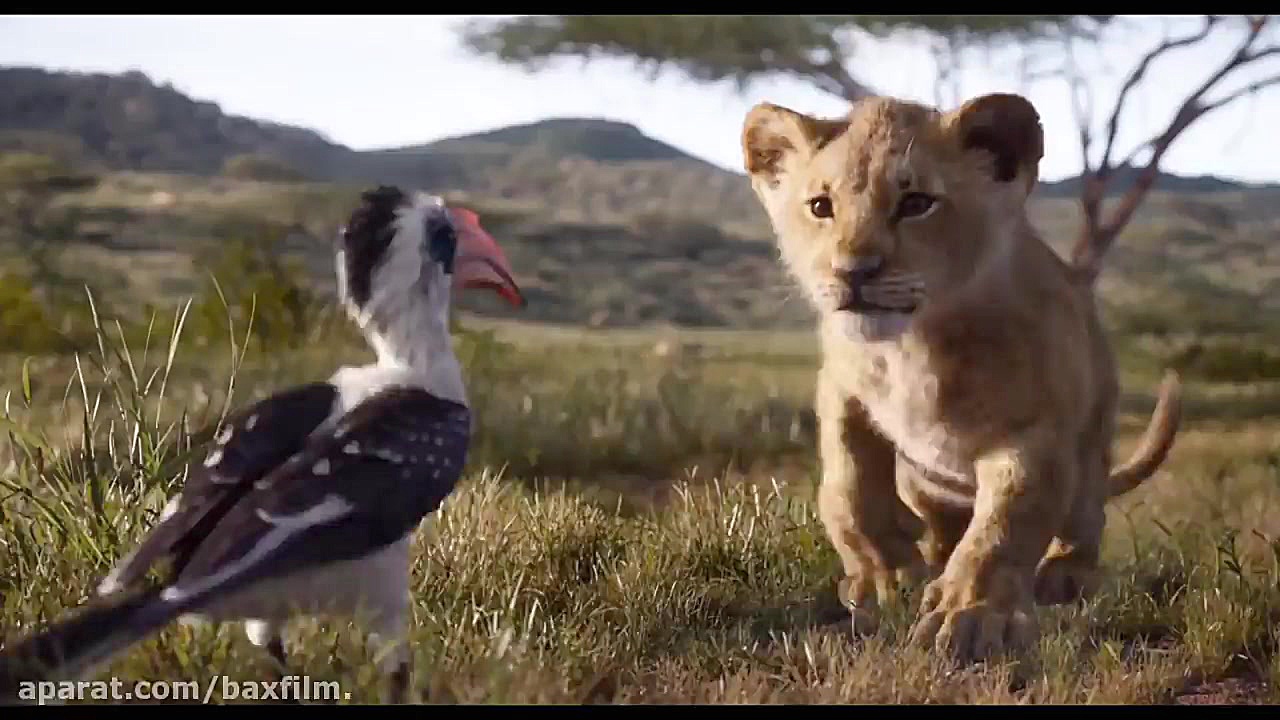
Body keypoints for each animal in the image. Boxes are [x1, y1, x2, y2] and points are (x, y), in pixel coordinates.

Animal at [739, 92, 1182, 663]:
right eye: (820, 206)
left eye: (916, 203)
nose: (852, 271)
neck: (912, 344)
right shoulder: (841, 388)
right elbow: (850, 489)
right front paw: (885, 580)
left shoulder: (1033, 431)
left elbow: (1002, 528)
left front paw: (970, 617)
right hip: (922, 484)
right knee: (941, 525)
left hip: (1091, 444)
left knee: (1084, 516)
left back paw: (1065, 576)